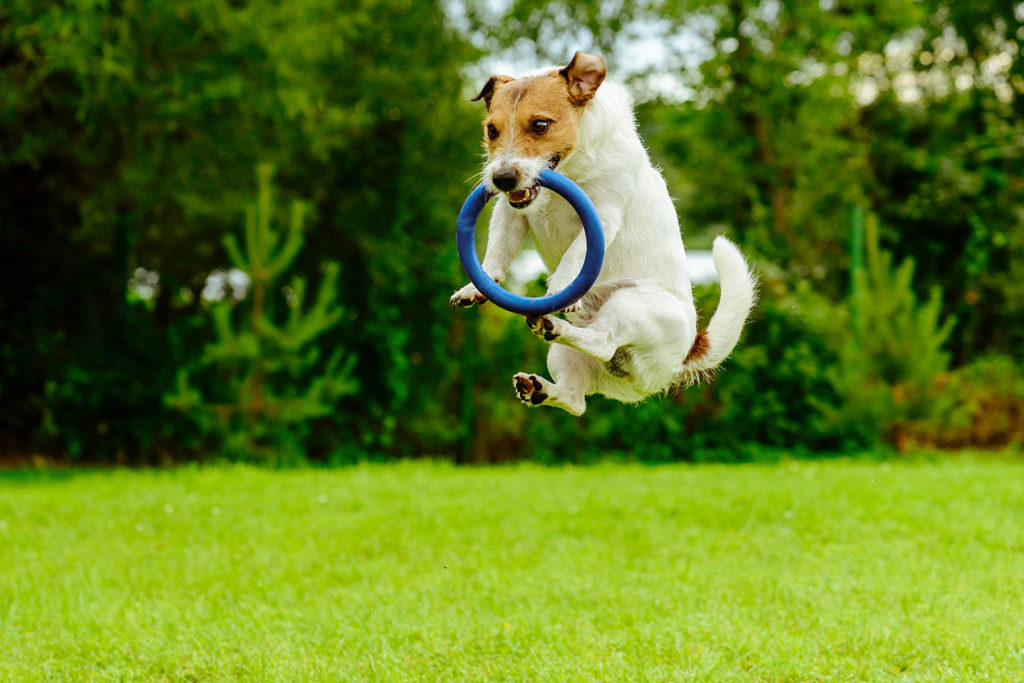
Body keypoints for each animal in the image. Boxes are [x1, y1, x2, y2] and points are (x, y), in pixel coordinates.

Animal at [452, 52, 757, 417]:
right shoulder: (512, 213)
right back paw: (538, 386)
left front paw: (560, 285)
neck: (570, 169)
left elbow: (576, 252)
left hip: (632, 305)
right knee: (576, 399)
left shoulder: (603, 217)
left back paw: (554, 326)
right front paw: (477, 286)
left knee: (602, 341)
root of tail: (678, 361)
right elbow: (498, 250)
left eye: (540, 125)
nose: (502, 179)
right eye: (491, 129)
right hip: (565, 356)